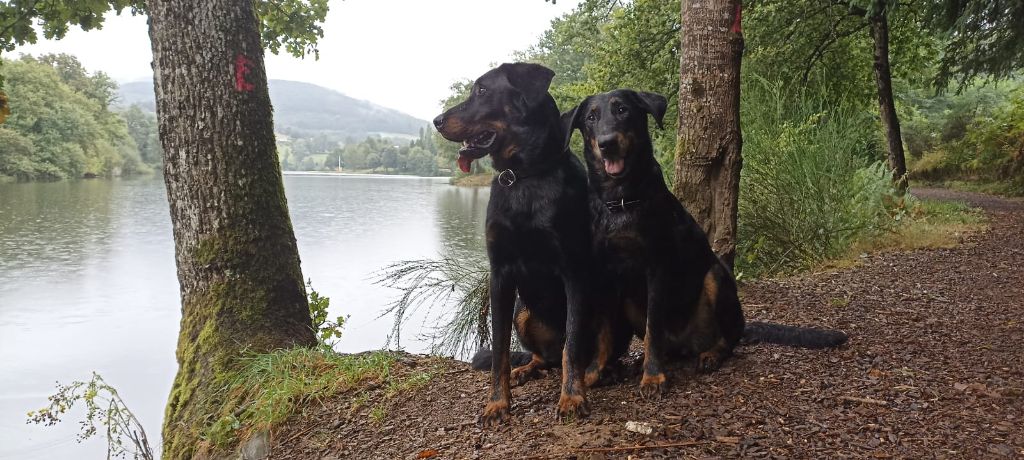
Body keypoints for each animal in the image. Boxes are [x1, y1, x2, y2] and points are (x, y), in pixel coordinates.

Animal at [434, 63, 630, 422]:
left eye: (482, 91)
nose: (437, 120)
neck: (522, 177)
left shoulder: (574, 271)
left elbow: (573, 346)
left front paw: (572, 398)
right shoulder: (500, 273)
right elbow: (499, 350)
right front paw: (497, 403)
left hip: (607, 299)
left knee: (589, 352)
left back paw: (602, 373)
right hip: (522, 312)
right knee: (543, 356)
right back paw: (526, 369)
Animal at [565, 89, 843, 397]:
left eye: (623, 110)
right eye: (591, 118)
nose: (607, 144)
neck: (621, 201)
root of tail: (685, 343)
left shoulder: (656, 269)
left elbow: (653, 327)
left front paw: (653, 377)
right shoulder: (604, 276)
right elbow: (605, 330)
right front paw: (592, 373)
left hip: (715, 276)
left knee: (728, 337)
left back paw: (710, 354)